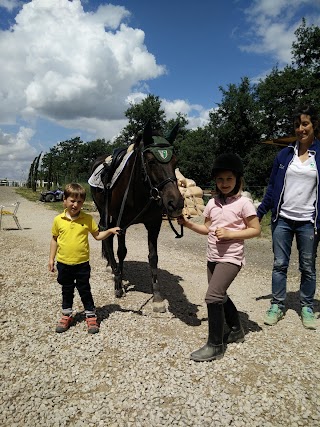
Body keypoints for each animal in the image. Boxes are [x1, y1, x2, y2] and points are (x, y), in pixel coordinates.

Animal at [91, 122, 184, 312]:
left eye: (175, 161)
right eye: (151, 161)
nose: (176, 203)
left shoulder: (154, 224)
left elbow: (153, 257)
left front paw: (157, 297)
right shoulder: (122, 224)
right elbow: (122, 251)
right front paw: (118, 285)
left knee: (107, 235)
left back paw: (112, 267)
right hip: (104, 210)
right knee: (105, 232)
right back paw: (114, 269)